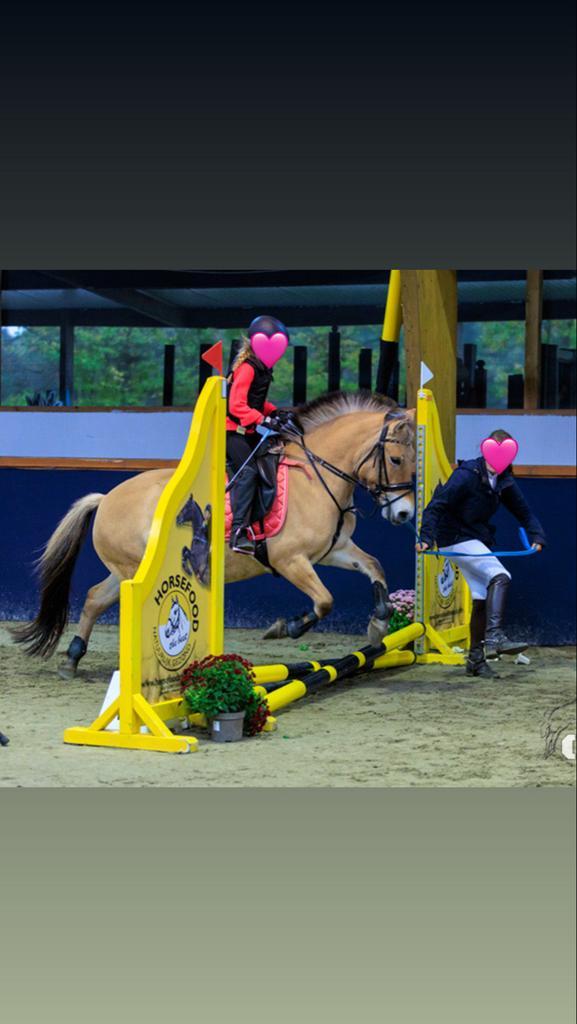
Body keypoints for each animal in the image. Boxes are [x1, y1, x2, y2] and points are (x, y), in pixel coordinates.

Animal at [13, 391, 416, 678]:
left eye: (415, 462)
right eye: (396, 460)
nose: (404, 513)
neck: (317, 476)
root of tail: (107, 498)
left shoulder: (334, 550)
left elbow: (375, 567)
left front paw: (379, 624)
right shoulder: (291, 560)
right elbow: (325, 601)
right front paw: (283, 628)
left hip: (124, 569)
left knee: (95, 599)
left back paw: (72, 659)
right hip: (133, 570)